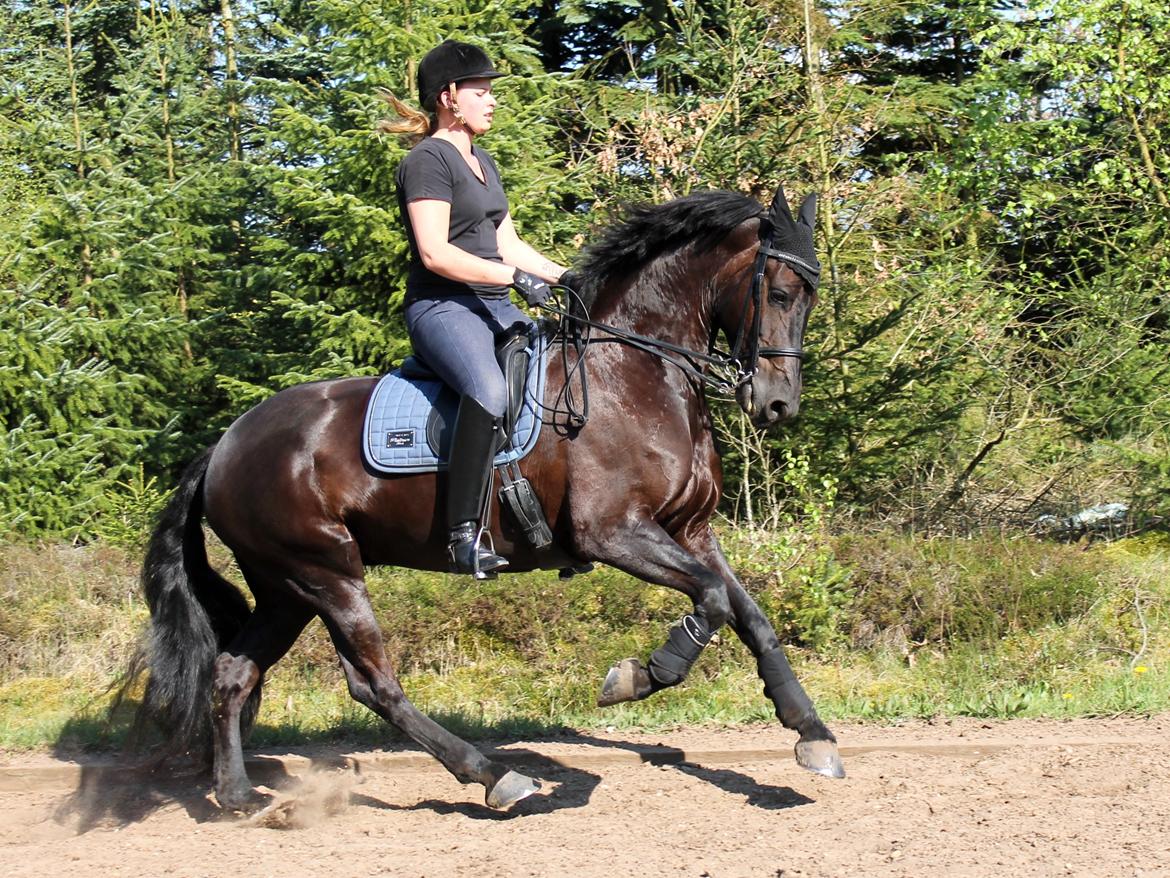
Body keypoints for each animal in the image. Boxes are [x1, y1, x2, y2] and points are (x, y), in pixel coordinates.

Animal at [136, 183, 847, 810]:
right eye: (780, 292)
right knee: (373, 684)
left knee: (233, 672)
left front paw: (810, 732)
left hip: (285, 588)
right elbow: (712, 600)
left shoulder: (691, 529)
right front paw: (637, 677)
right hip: (325, 572)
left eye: (811, 298)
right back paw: (493, 776)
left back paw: (234, 795)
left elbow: (747, 612)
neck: (637, 372)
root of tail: (224, 445)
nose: (777, 405)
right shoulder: (614, 533)